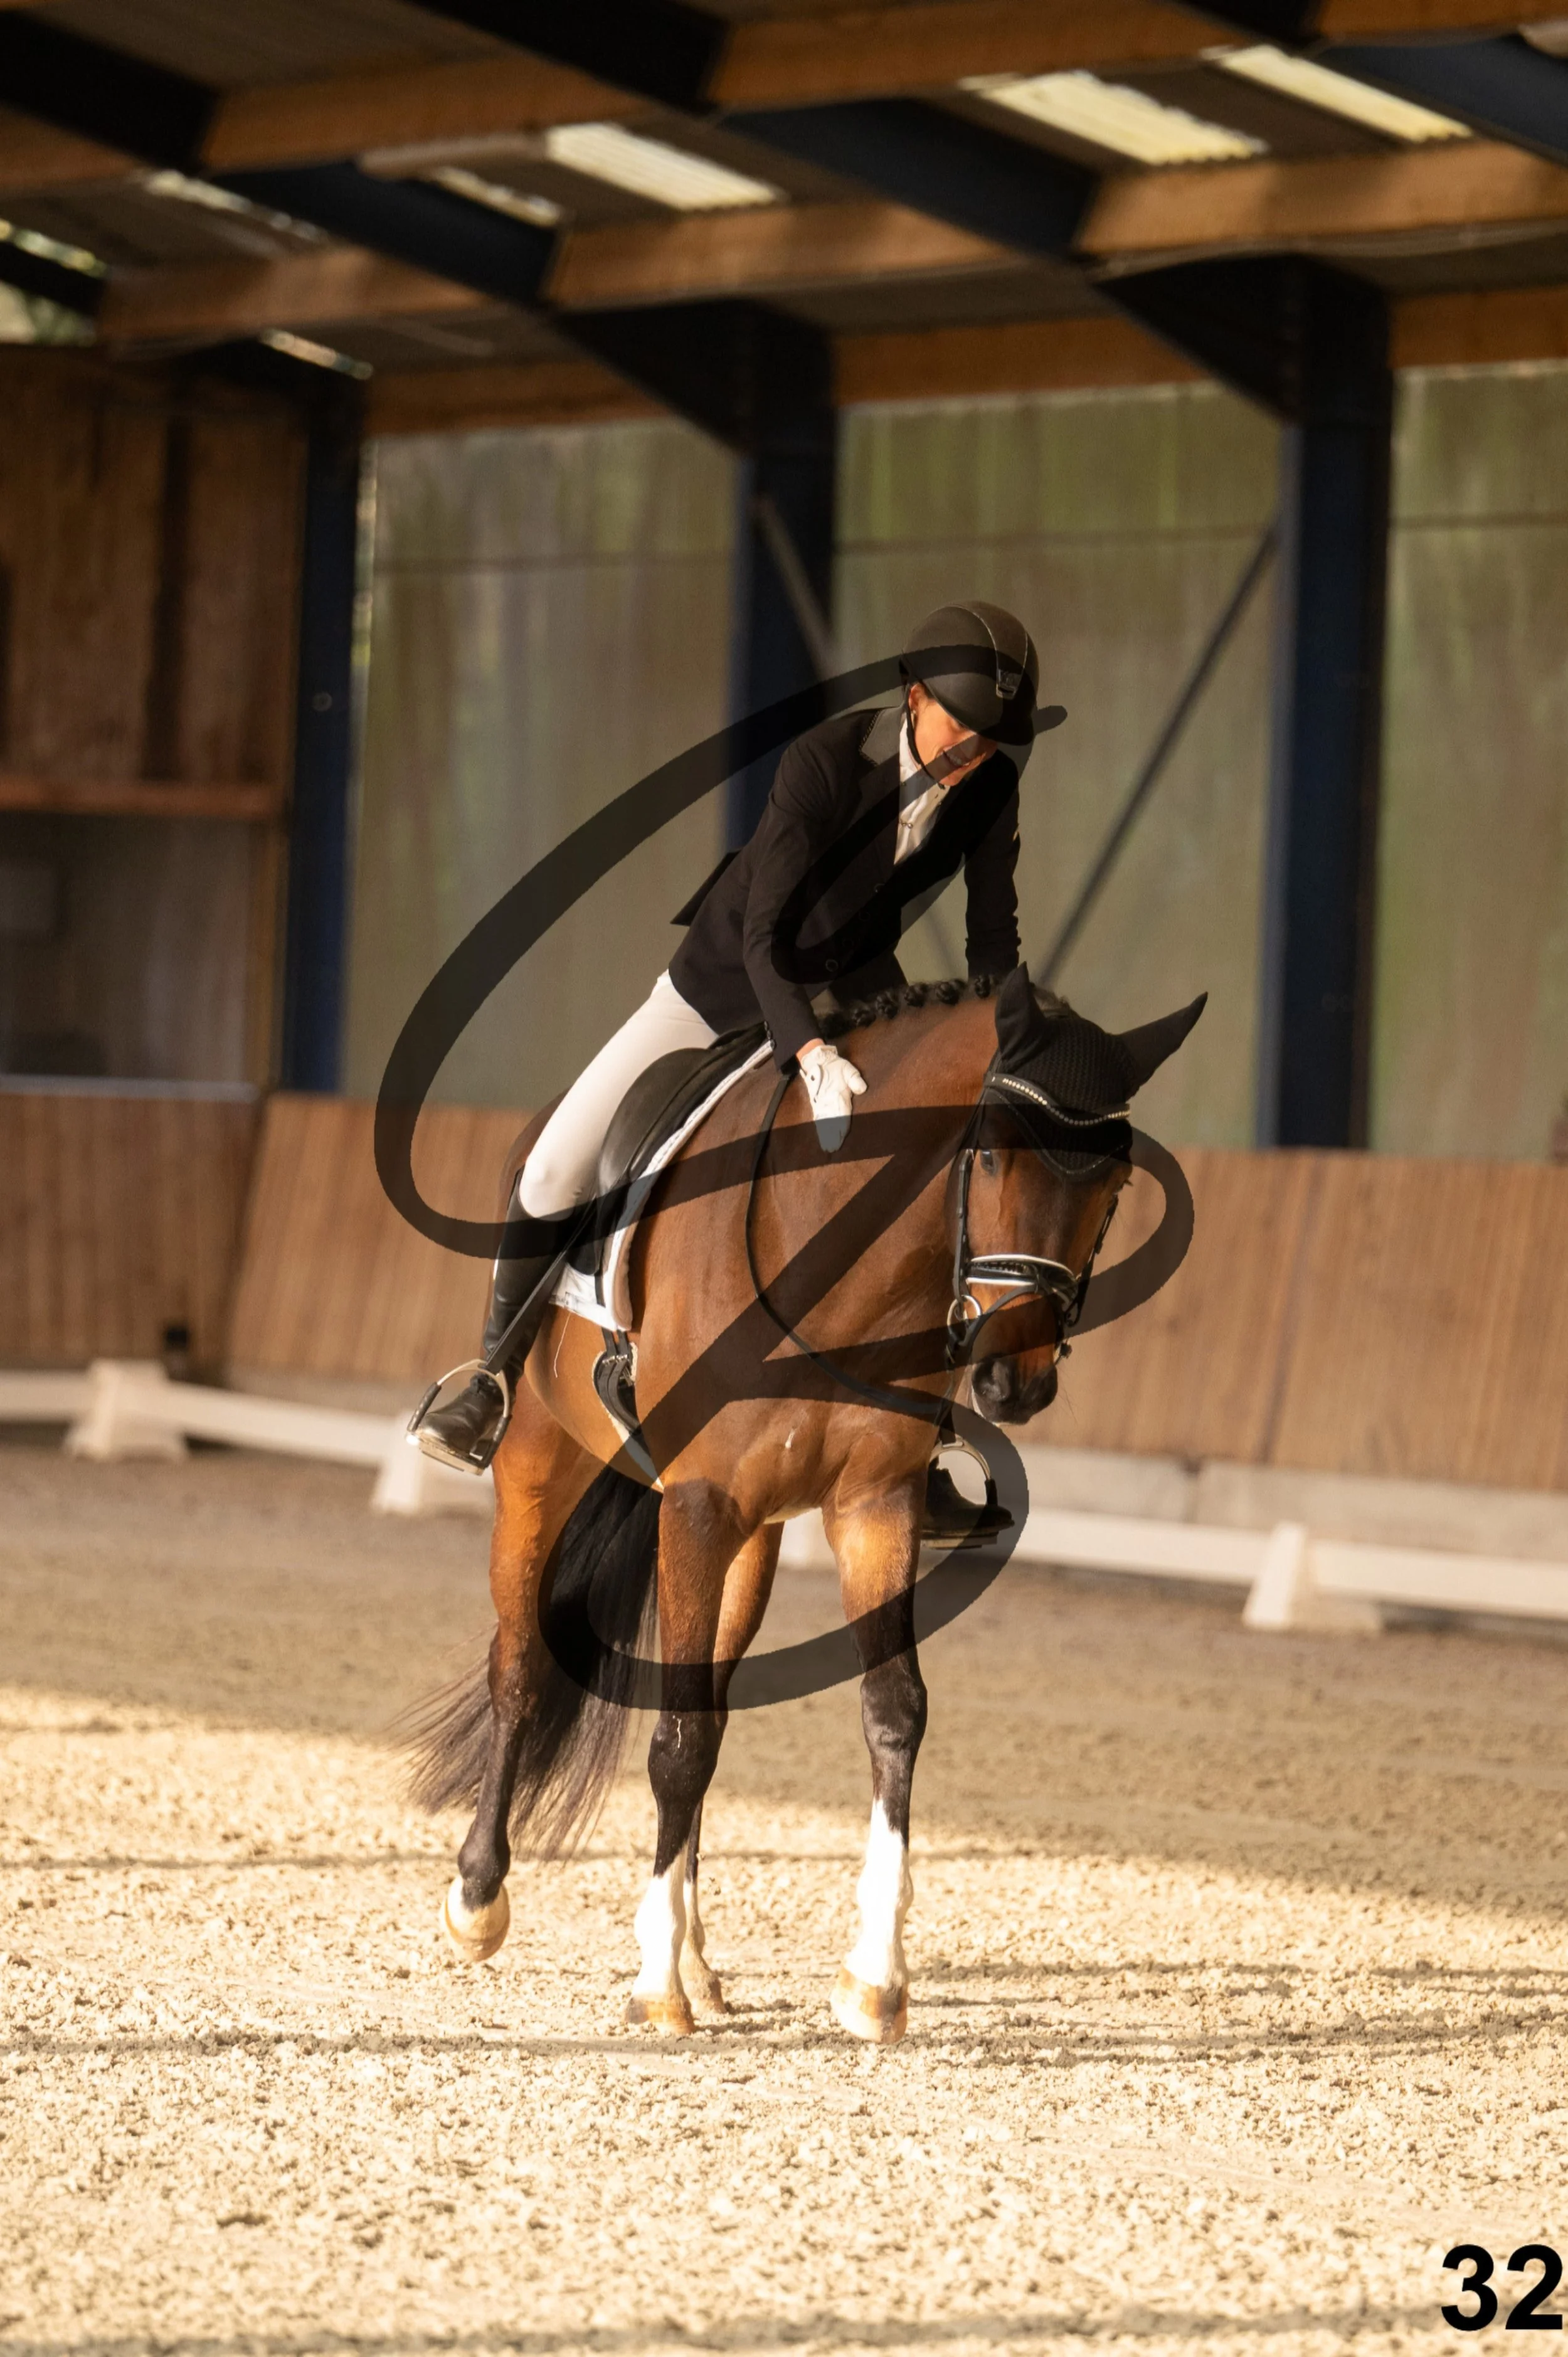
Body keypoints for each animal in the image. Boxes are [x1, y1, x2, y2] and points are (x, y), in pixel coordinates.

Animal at [406, 964, 1203, 2043]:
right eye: (990, 1154)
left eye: (1112, 1188)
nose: (1015, 1383)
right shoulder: (698, 1504)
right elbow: (673, 1739)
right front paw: (654, 1984)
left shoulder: (872, 1503)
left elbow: (890, 1711)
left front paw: (873, 1979)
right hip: (542, 1465)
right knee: (524, 1663)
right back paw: (481, 1900)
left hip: (753, 1541)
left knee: (707, 1703)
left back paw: (699, 1960)